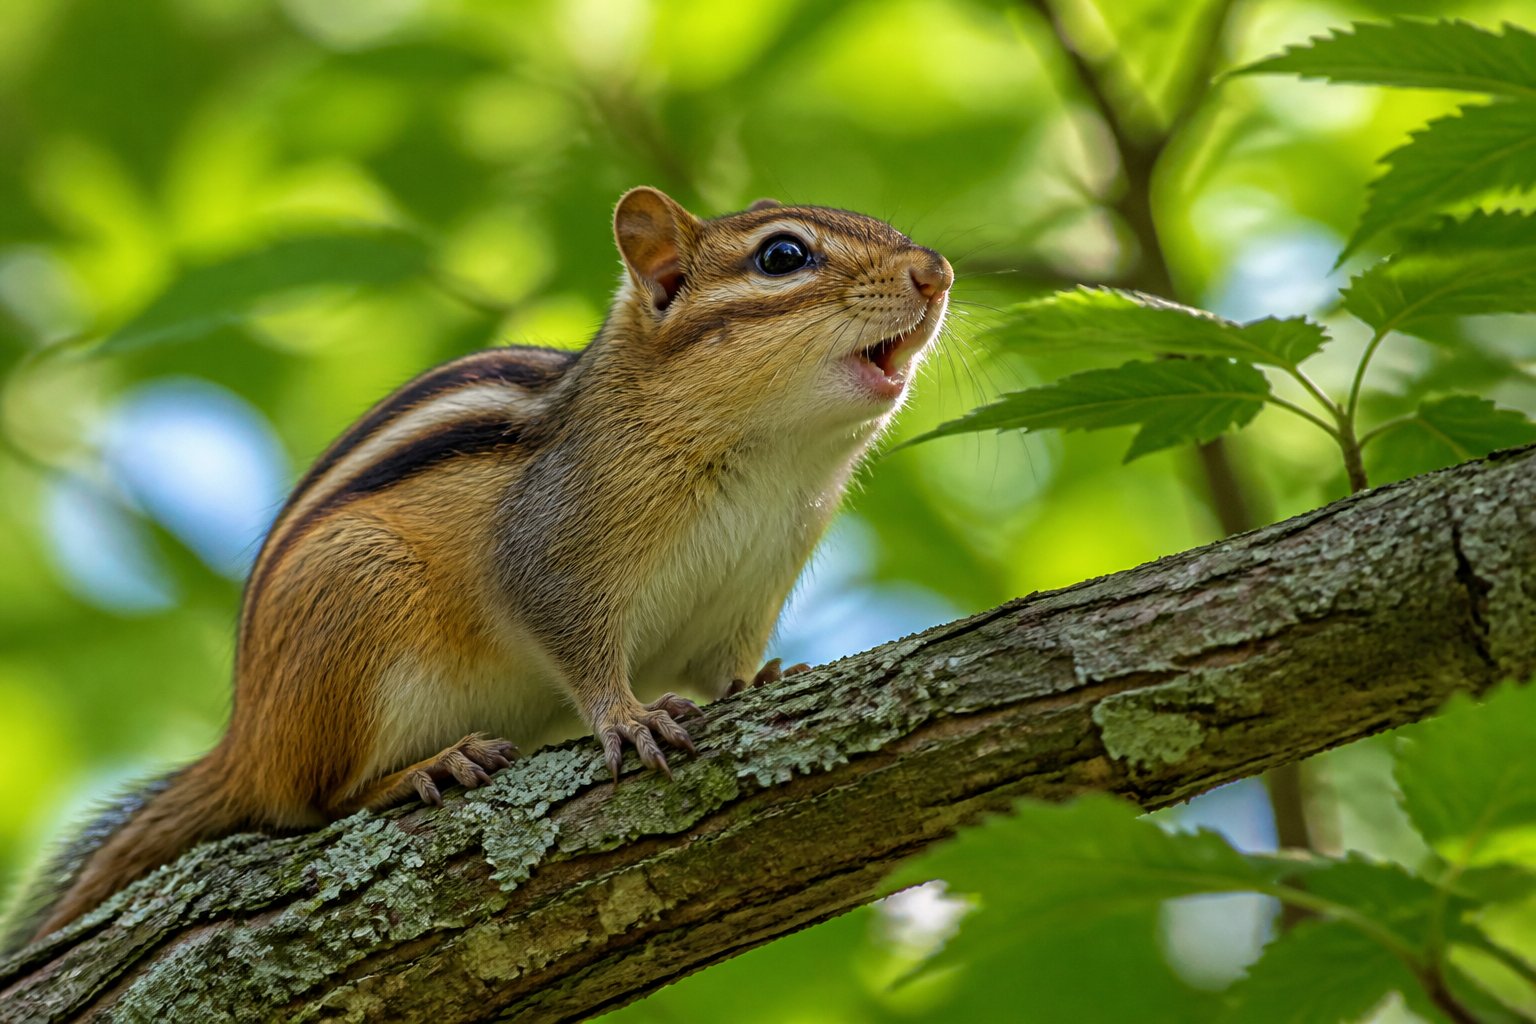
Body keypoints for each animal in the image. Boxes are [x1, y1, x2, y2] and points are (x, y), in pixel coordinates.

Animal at [9, 187, 952, 948]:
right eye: (783, 256)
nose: (937, 272)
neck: (772, 461)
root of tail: (245, 738)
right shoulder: (551, 553)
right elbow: (575, 644)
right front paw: (626, 717)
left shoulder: (748, 591)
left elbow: (725, 665)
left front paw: (766, 680)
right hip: (360, 606)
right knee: (314, 799)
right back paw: (424, 769)